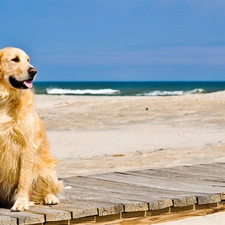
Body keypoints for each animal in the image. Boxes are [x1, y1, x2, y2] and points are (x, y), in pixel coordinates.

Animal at [0, 47, 62, 211]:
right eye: (15, 59)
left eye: (28, 60)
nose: (33, 71)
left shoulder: (27, 146)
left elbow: (23, 179)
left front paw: (21, 202)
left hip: (46, 166)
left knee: (48, 189)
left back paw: (50, 198)